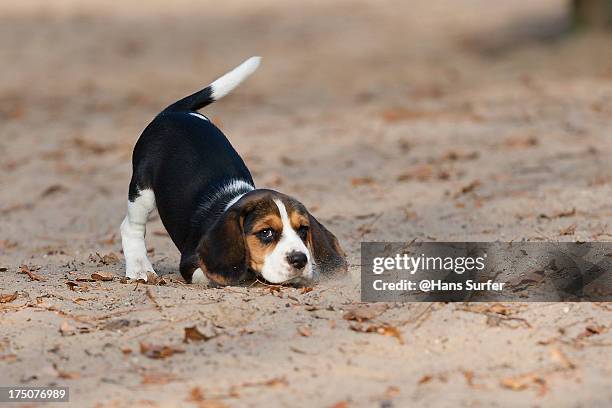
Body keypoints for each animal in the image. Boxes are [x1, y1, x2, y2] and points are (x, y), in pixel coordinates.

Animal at [119, 56, 346, 286]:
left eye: (303, 230)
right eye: (266, 233)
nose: (300, 259)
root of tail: (174, 112)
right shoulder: (191, 263)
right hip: (142, 191)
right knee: (131, 227)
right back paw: (139, 268)